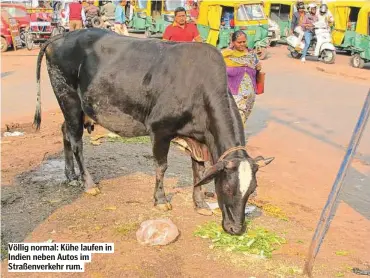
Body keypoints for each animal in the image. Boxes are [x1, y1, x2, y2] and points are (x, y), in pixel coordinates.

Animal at [33, 29, 274, 236]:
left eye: (251, 190)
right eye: (228, 187)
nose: (236, 229)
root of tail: (61, 36)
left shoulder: (198, 139)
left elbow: (199, 170)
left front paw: (201, 204)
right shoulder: (160, 130)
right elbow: (161, 167)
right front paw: (161, 200)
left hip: (77, 109)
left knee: (65, 131)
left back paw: (70, 175)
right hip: (69, 99)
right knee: (76, 142)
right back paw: (88, 183)